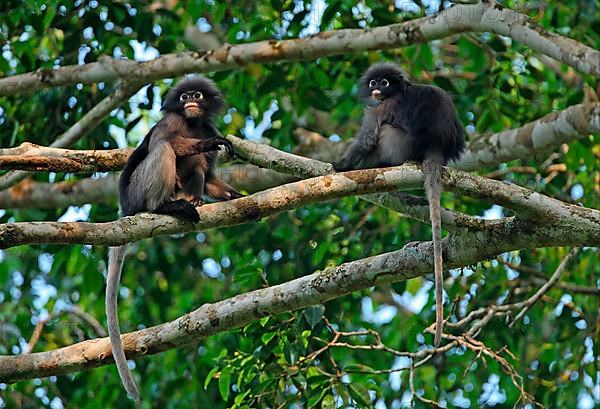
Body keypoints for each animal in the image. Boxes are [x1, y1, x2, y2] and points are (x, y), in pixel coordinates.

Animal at [106, 75, 243, 402]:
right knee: (164, 150)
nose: (190, 101)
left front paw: (236, 196)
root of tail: (126, 208)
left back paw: (193, 202)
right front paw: (210, 145)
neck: (192, 123)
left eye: (197, 95)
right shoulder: (171, 121)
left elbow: (211, 174)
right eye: (183, 97)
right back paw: (165, 207)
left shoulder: (206, 126)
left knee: (198, 165)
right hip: (139, 190)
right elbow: (165, 142)